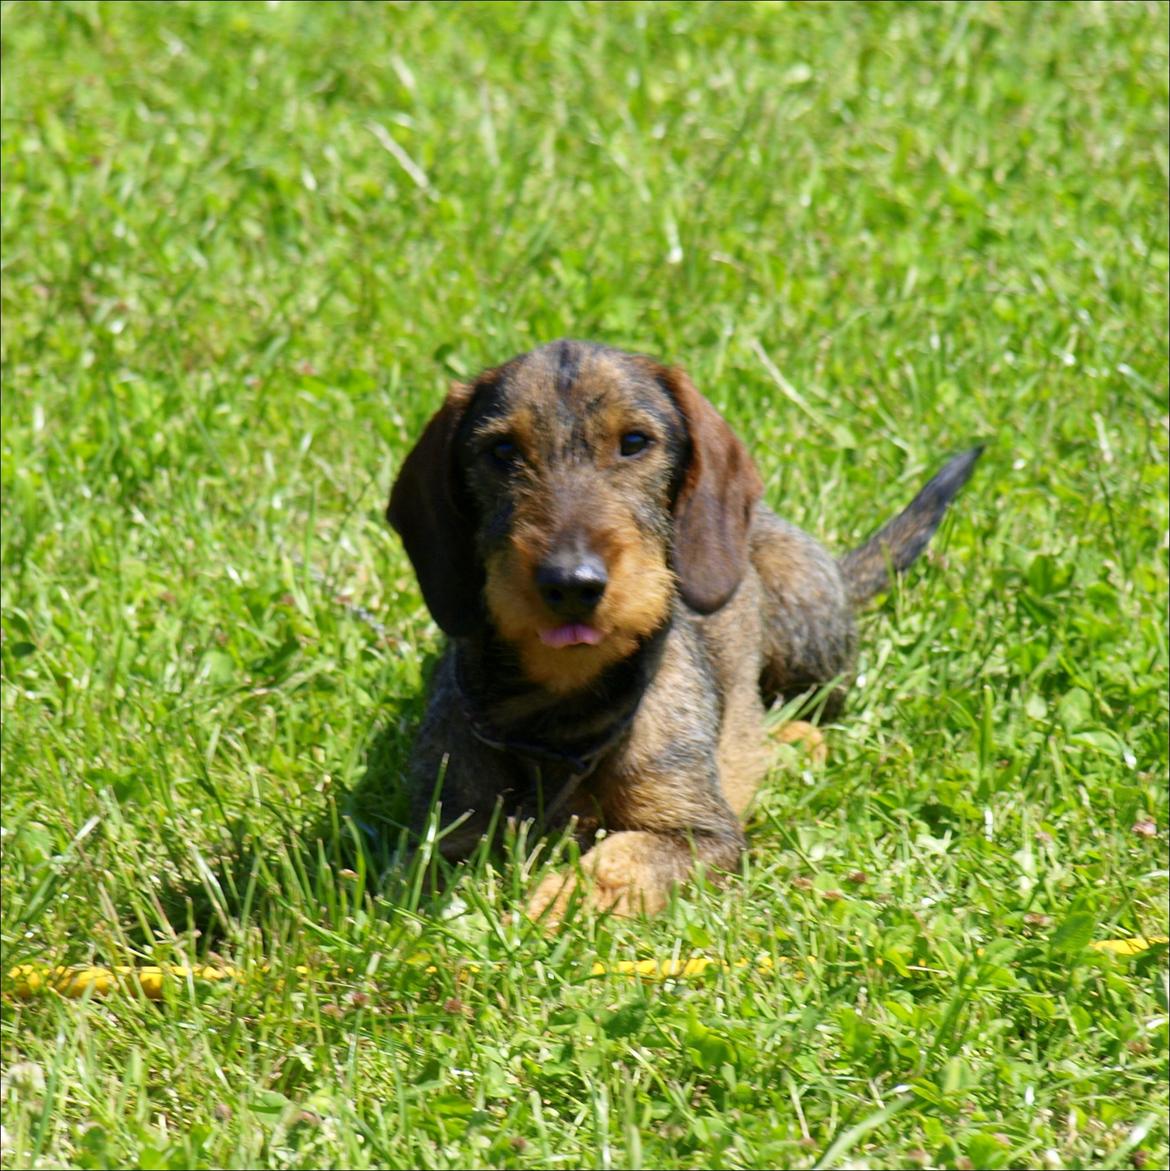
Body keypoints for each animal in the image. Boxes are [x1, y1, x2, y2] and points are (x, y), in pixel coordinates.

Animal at [386, 339, 979, 922]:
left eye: (634, 442)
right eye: (502, 451)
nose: (572, 583)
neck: (560, 713)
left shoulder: (701, 831)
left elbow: (617, 862)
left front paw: (549, 911)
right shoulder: (441, 832)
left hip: (806, 617)